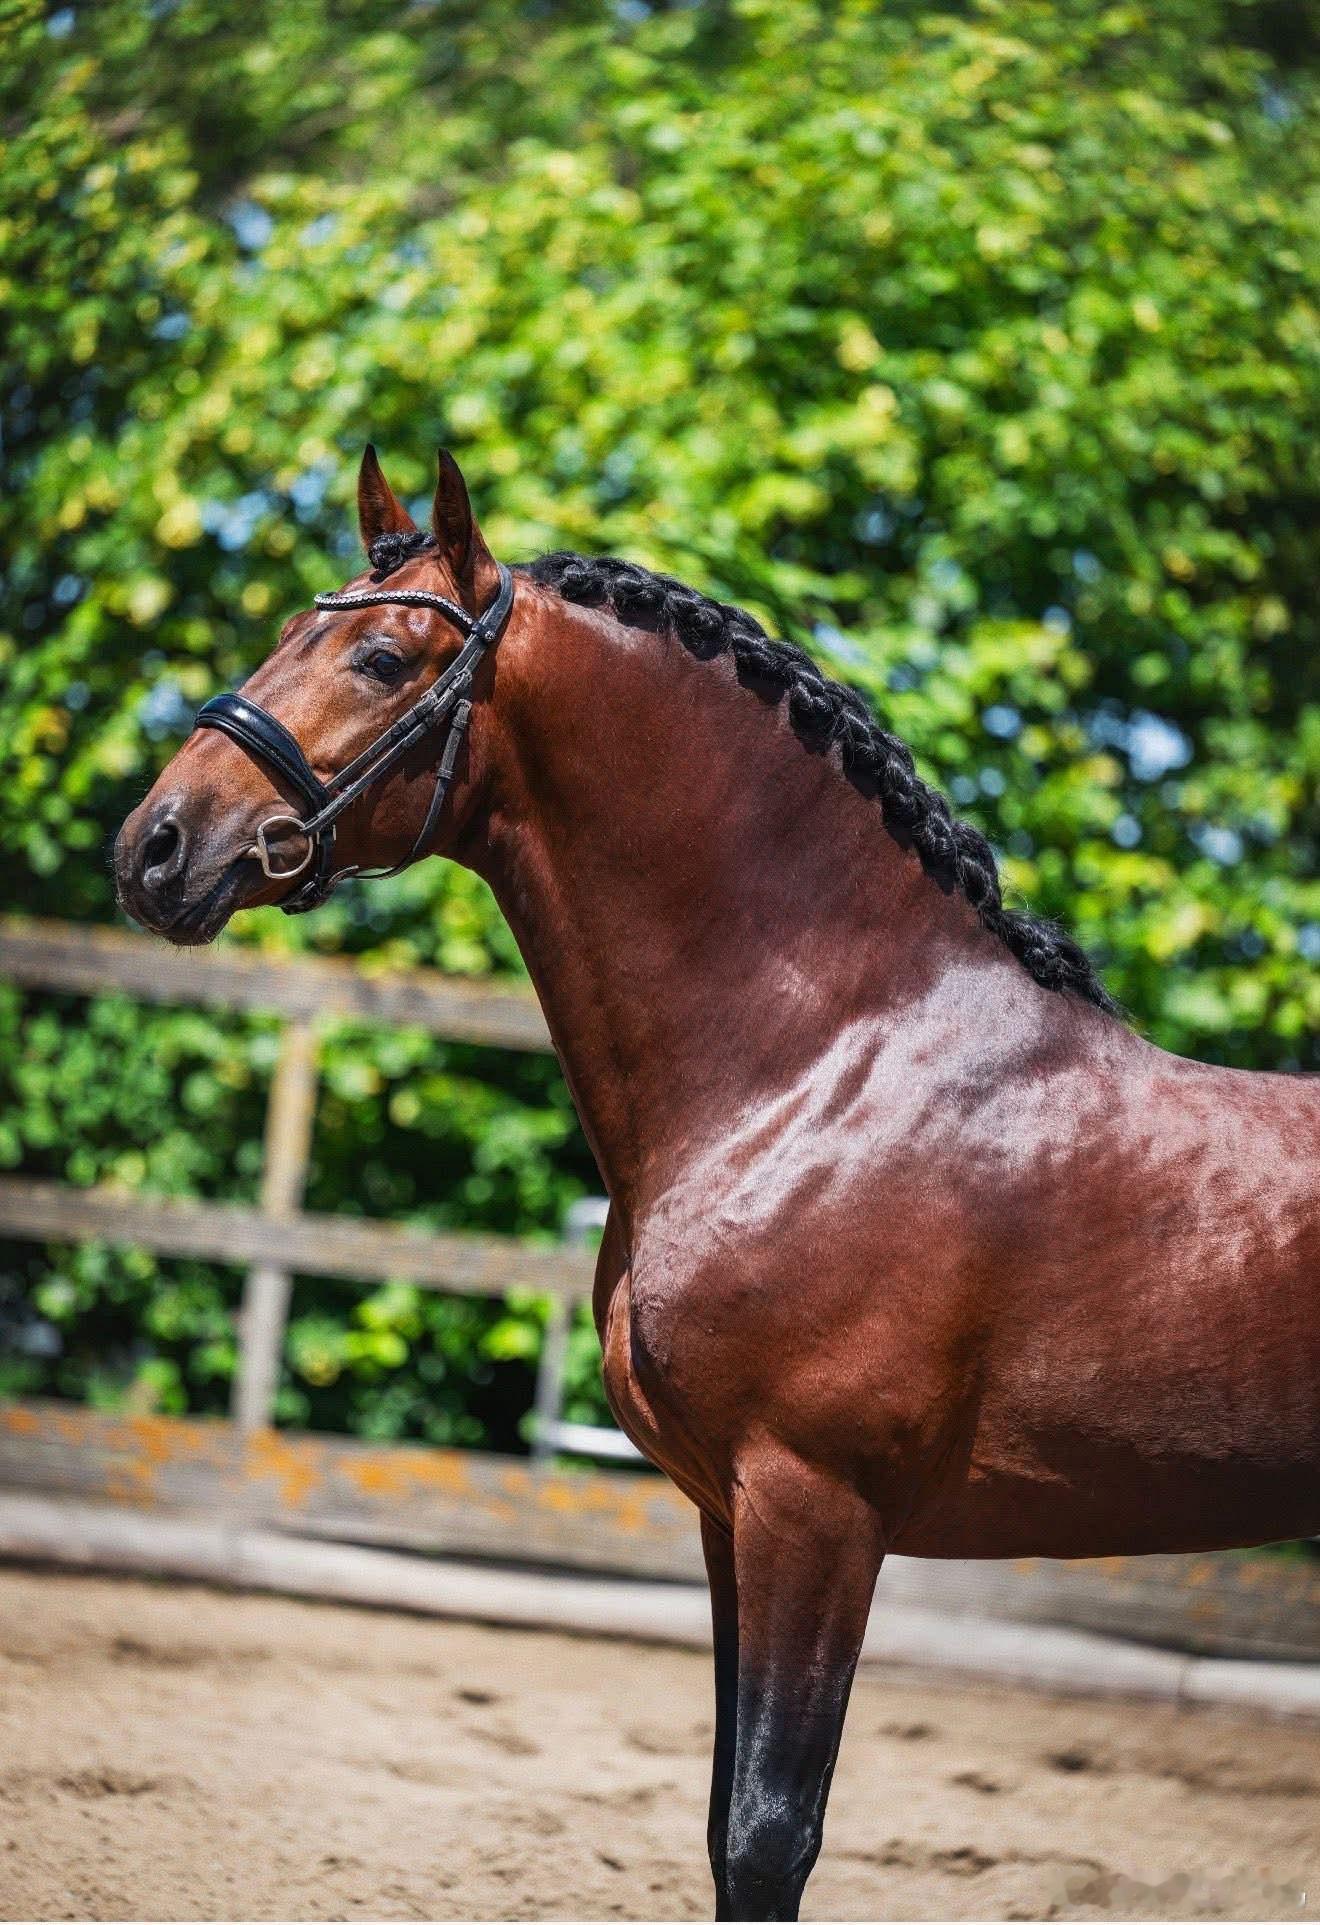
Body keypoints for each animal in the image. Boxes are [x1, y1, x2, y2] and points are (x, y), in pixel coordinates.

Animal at [115, 446, 1320, 1921]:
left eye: (385, 656)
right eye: (291, 628)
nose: (155, 845)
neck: (824, 1068)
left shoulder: (816, 1508)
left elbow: (766, 1833)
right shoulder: (728, 1515)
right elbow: (722, 1828)